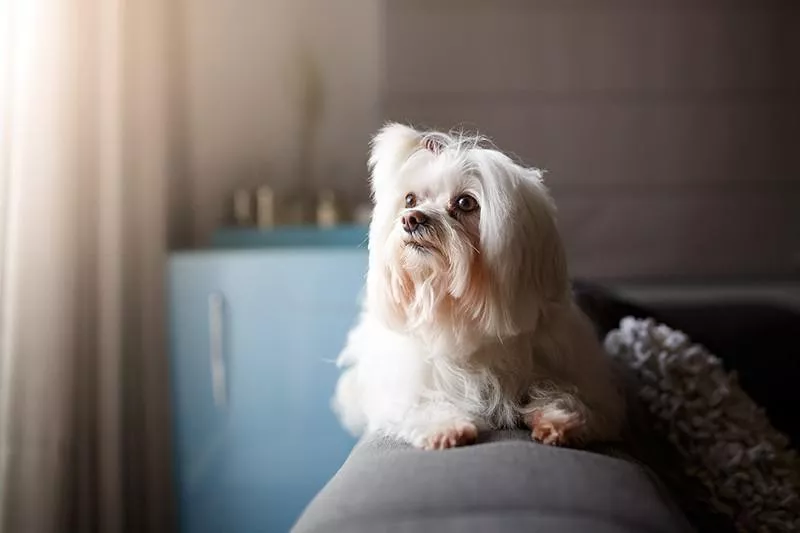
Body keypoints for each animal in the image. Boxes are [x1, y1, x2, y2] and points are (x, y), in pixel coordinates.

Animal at [332, 123, 624, 448]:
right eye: (410, 200)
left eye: (465, 203)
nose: (411, 219)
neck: (460, 314)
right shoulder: (404, 385)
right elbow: (420, 402)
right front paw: (445, 427)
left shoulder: (578, 373)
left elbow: (570, 395)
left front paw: (559, 419)